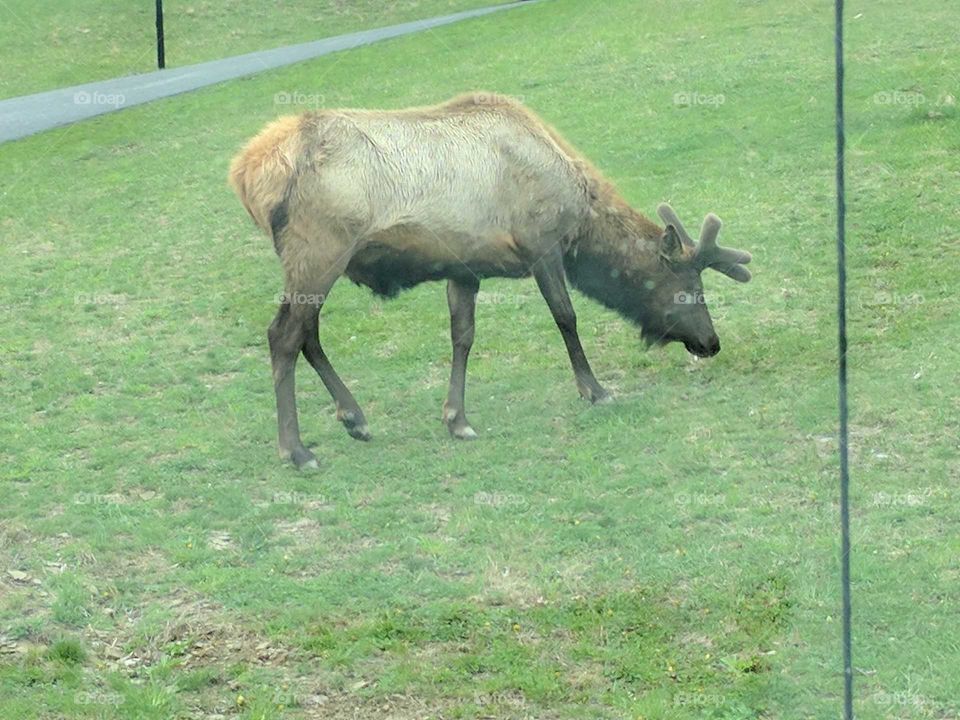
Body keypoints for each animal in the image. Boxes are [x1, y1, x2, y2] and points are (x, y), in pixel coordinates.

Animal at [229, 92, 752, 469]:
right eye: (691, 290)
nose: (711, 342)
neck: (578, 214)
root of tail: (245, 172)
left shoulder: (464, 268)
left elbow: (462, 337)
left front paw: (456, 419)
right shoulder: (542, 246)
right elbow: (566, 317)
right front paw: (595, 390)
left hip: (311, 261)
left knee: (308, 334)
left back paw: (354, 417)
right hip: (321, 248)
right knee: (283, 335)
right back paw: (297, 450)